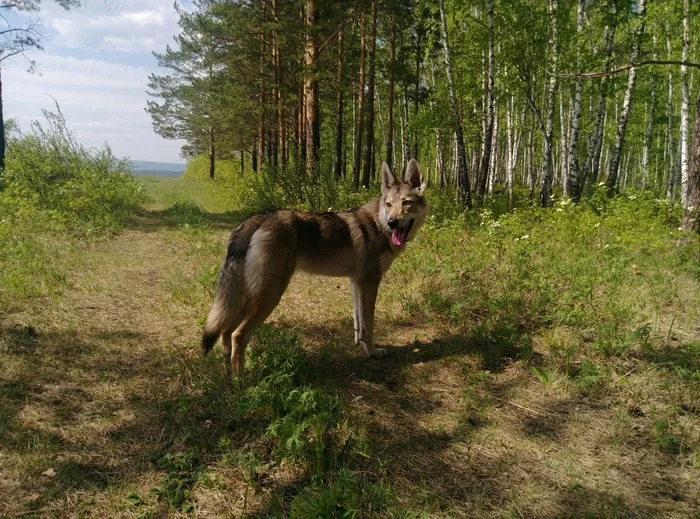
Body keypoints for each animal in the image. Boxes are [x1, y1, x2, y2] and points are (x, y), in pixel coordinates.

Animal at [197, 158, 426, 378]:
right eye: (389, 204)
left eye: (406, 203)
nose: (393, 222)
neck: (379, 225)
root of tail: (260, 217)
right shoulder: (370, 282)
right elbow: (368, 324)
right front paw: (373, 352)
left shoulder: (356, 282)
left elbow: (358, 322)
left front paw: (359, 345)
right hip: (269, 296)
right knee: (237, 335)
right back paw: (242, 383)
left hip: (250, 296)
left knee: (225, 333)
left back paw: (229, 378)